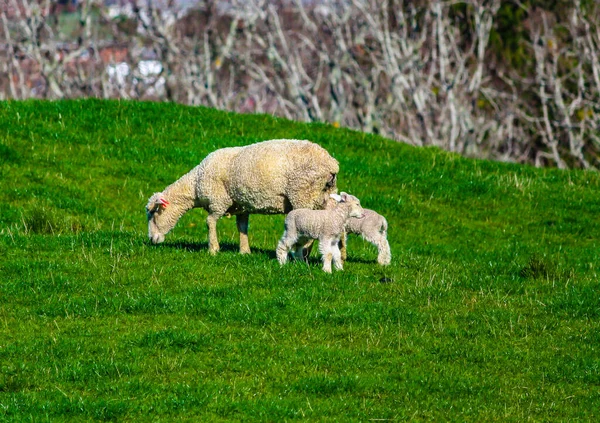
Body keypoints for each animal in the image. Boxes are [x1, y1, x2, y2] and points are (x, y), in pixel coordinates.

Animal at [145, 138, 338, 255]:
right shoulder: (242, 205)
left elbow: (210, 222)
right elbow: (242, 227)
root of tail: (331, 164)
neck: (195, 183)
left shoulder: (218, 201)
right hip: (322, 197)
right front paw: (245, 251)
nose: (152, 240)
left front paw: (213, 249)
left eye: (153, 214)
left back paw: (300, 254)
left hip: (303, 194)